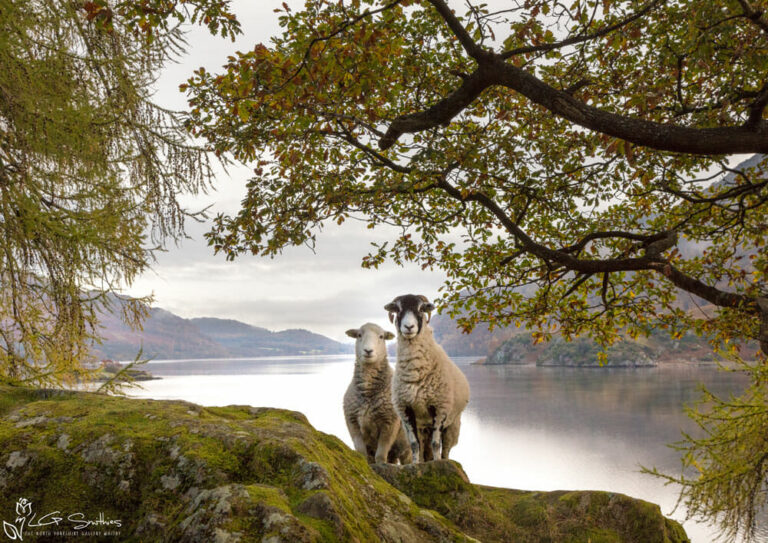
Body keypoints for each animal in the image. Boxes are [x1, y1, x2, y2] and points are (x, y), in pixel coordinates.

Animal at [343, 322, 413, 465]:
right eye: (359, 335)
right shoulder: (352, 423)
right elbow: (361, 453)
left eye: (381, 336)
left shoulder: (390, 424)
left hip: (406, 445)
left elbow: (380, 455)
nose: (368, 351)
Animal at [385, 294, 470, 463]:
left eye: (421, 309)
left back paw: (443, 461)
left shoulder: (439, 408)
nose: (409, 327)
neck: (415, 371)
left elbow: (436, 444)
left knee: (445, 449)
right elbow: (414, 444)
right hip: (424, 428)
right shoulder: (405, 410)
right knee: (425, 448)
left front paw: (437, 463)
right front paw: (416, 464)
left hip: (452, 425)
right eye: (398, 309)